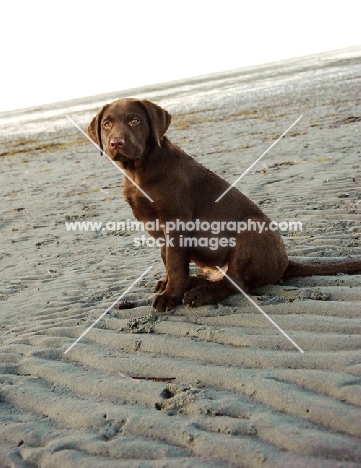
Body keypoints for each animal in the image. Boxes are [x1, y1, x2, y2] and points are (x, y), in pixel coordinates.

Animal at [88, 98, 360, 310]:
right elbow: (168, 260)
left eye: (135, 120)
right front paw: (168, 286)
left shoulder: (176, 223)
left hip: (251, 229)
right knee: (223, 278)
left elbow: (174, 263)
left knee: (237, 283)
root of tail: (284, 263)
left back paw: (200, 294)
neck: (138, 171)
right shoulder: (156, 228)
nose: (116, 143)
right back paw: (194, 284)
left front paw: (169, 296)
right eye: (107, 124)